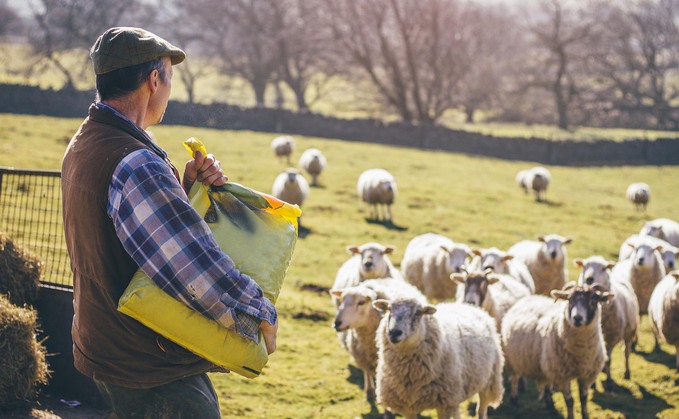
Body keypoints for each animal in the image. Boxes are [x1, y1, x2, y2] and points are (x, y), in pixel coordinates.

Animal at [372, 298, 504, 419]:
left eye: (418, 313)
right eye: (389, 309)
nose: (394, 333)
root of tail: (469, 306)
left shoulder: (444, 402)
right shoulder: (407, 406)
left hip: (489, 380)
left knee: (481, 409)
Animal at [502, 282, 612, 419]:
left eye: (593, 301)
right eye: (570, 300)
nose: (577, 318)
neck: (581, 353)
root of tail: (530, 297)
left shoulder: (587, 374)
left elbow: (583, 398)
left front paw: (585, 415)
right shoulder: (562, 375)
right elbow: (570, 401)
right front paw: (570, 416)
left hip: (545, 364)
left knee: (546, 383)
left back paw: (550, 405)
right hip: (513, 359)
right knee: (514, 378)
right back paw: (514, 398)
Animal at [576, 258, 640, 392]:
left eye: (603, 268)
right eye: (584, 266)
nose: (589, 279)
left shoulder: (611, 338)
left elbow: (609, 360)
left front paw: (609, 382)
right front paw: (593, 384)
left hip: (629, 332)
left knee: (626, 353)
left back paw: (627, 373)